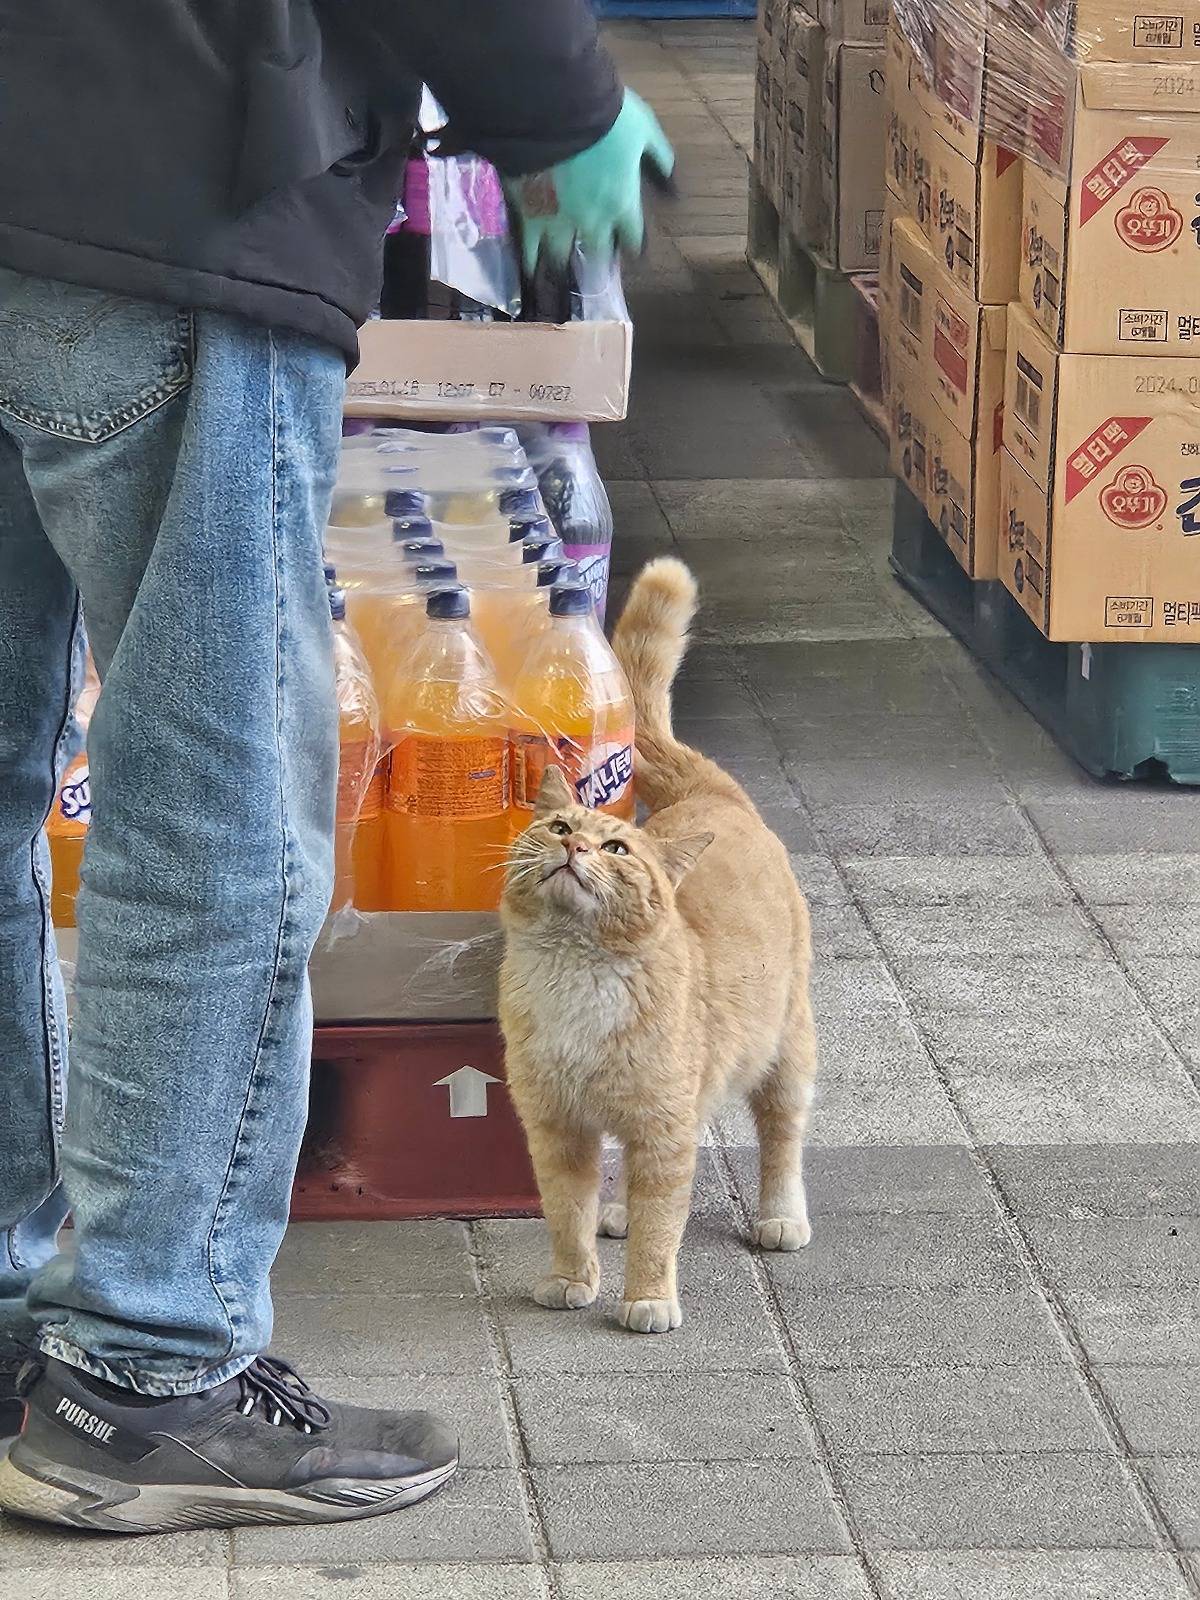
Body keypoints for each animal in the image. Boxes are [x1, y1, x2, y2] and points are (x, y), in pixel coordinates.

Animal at [499, 556, 819, 1331]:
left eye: (616, 847)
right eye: (560, 828)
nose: (578, 846)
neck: (574, 974)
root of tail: (716, 795)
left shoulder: (663, 1128)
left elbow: (661, 1226)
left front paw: (646, 1298)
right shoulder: (557, 1127)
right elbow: (566, 1214)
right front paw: (571, 1276)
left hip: (786, 1050)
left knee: (782, 1135)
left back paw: (780, 1216)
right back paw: (616, 1210)